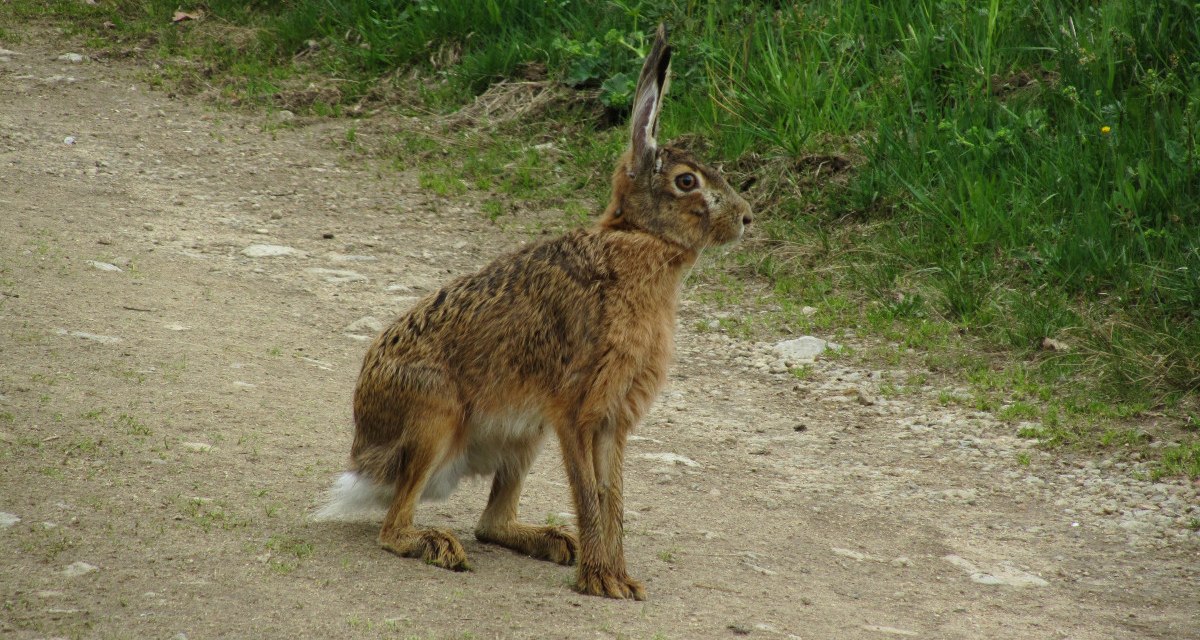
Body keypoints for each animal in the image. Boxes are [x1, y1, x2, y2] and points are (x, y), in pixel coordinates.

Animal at [314, 23, 752, 600]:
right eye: (686, 181)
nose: (747, 217)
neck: (639, 242)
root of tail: (365, 460)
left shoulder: (611, 419)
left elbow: (612, 499)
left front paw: (620, 579)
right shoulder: (576, 410)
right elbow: (590, 495)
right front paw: (600, 581)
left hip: (524, 437)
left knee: (490, 523)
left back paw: (550, 540)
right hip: (434, 415)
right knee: (394, 527)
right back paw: (436, 544)